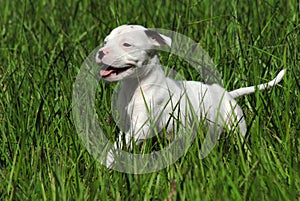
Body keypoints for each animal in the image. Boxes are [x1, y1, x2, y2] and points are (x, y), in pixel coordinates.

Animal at [96, 24, 286, 166]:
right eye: (105, 42)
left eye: (127, 44)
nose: (100, 52)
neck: (134, 86)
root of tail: (227, 94)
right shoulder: (127, 124)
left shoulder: (142, 126)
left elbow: (121, 143)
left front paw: (108, 162)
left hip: (235, 124)